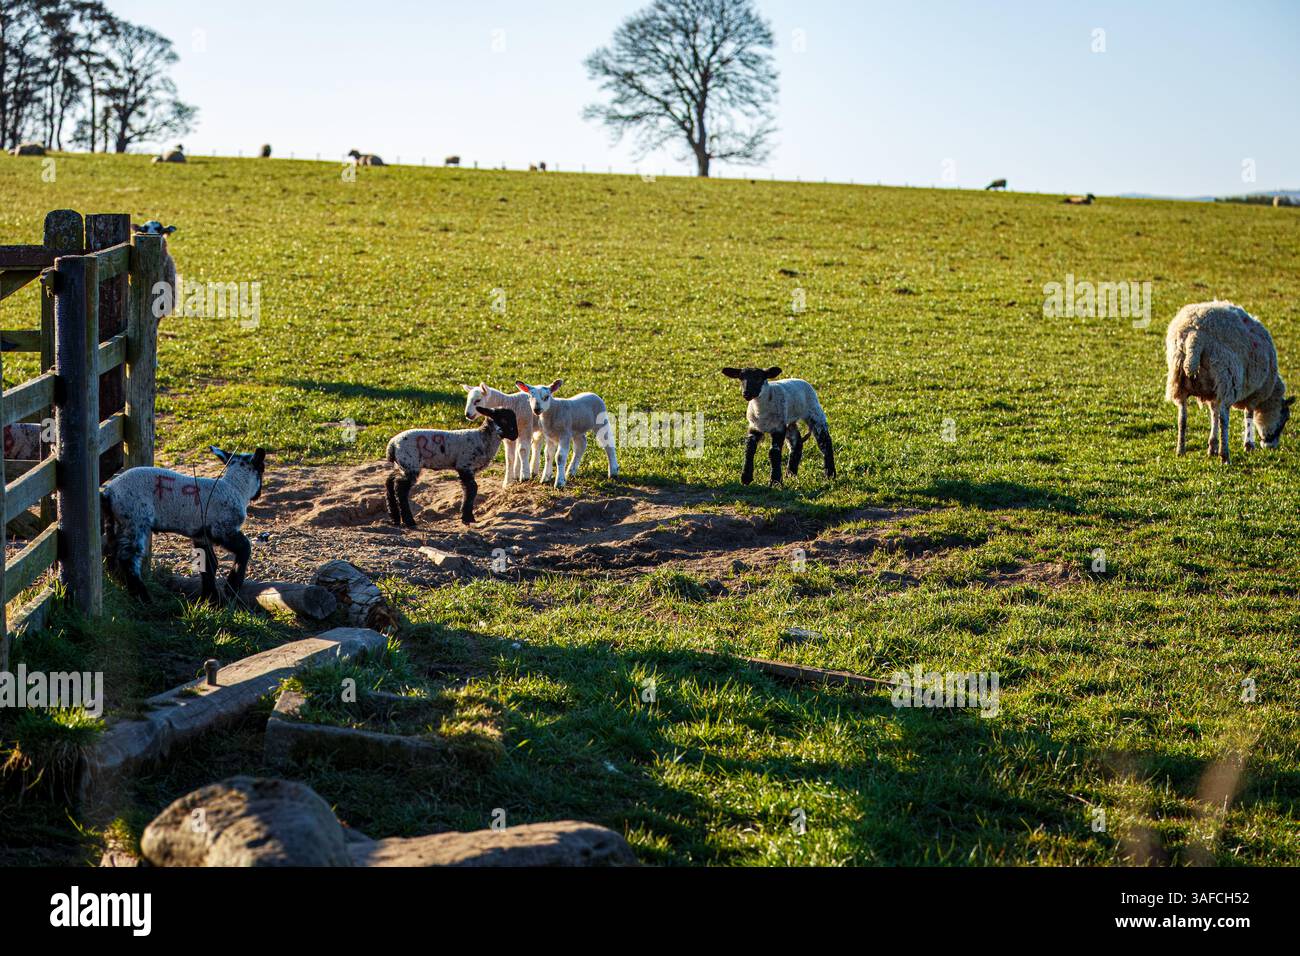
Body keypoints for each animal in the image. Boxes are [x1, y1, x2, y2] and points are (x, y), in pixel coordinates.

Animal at [101, 447, 267, 602]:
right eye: (262, 468)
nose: (258, 495)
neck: (236, 488)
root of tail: (109, 492)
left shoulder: (201, 535)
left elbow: (209, 564)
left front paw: (210, 599)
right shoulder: (223, 528)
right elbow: (245, 548)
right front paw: (230, 589)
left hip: (117, 522)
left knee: (111, 551)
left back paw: (119, 583)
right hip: (135, 519)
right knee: (128, 559)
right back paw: (144, 598)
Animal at [385, 406, 518, 527]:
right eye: (504, 419)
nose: (515, 435)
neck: (483, 439)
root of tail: (392, 445)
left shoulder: (466, 468)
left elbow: (468, 489)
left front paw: (466, 516)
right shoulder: (464, 465)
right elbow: (472, 489)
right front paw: (467, 517)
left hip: (402, 465)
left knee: (390, 481)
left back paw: (395, 518)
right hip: (410, 463)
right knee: (400, 489)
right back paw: (409, 521)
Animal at [1165, 301, 1292, 464]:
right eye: (1285, 418)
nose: (1271, 446)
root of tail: (1195, 336)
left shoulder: (1212, 393)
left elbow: (1213, 413)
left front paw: (1212, 447)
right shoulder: (1253, 394)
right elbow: (1247, 415)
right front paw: (1248, 446)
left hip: (1179, 381)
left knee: (1182, 417)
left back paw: (1180, 451)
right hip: (1228, 377)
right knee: (1224, 419)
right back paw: (1225, 455)